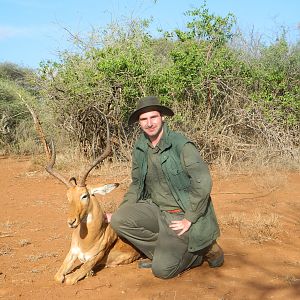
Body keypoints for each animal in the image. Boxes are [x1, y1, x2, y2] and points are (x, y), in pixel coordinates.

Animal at [46, 116, 141, 284]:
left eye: (85, 195)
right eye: (68, 197)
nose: (71, 221)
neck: (88, 240)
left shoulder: (94, 258)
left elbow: (70, 278)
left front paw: (86, 273)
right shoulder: (72, 253)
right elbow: (58, 277)